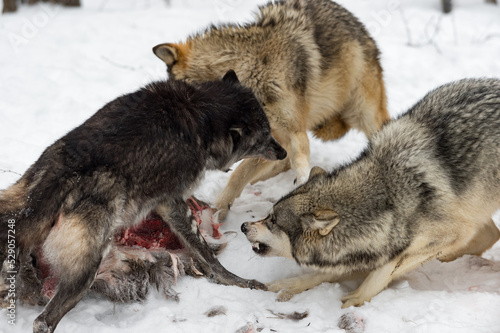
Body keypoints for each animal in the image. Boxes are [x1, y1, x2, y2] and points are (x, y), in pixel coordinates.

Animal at [0, 70, 288, 332]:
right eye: (264, 136)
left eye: (269, 130)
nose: (283, 152)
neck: (200, 114)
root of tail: (52, 182)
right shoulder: (172, 202)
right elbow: (204, 251)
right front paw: (236, 281)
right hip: (87, 268)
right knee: (43, 322)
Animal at [152, 0, 390, 218]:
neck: (253, 70)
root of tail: (355, 22)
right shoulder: (265, 139)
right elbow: (238, 175)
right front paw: (217, 211)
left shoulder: (294, 129)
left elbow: (299, 158)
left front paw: (302, 180)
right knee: (278, 164)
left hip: (364, 113)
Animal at [242, 78, 500, 306]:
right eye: (268, 215)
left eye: (273, 221)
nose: (243, 226)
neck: (388, 197)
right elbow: (327, 273)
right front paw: (292, 285)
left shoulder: (453, 233)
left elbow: (386, 269)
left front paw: (357, 297)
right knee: (491, 234)